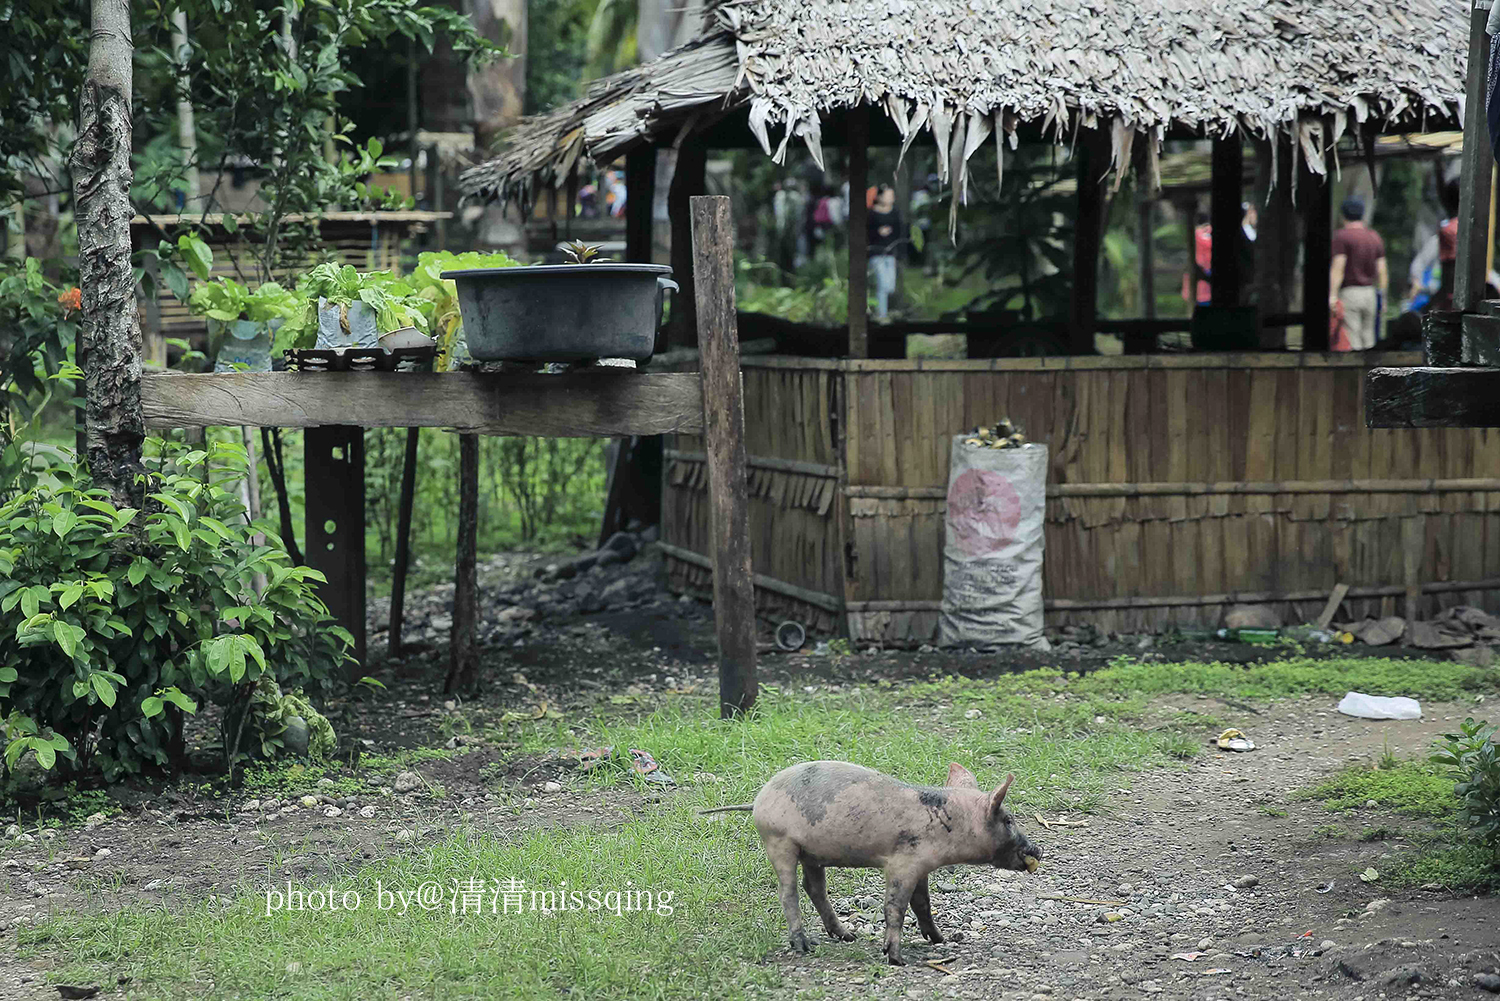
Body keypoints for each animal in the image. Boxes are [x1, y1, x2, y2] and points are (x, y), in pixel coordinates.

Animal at [699, 762, 1044, 966]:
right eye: (1009, 820)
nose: (1037, 849)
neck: (948, 824)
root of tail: (757, 800)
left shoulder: (921, 868)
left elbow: (923, 905)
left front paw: (941, 939)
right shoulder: (902, 863)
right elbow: (895, 907)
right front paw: (896, 959)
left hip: (812, 854)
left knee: (814, 888)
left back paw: (846, 935)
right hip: (779, 841)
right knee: (789, 892)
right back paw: (803, 946)